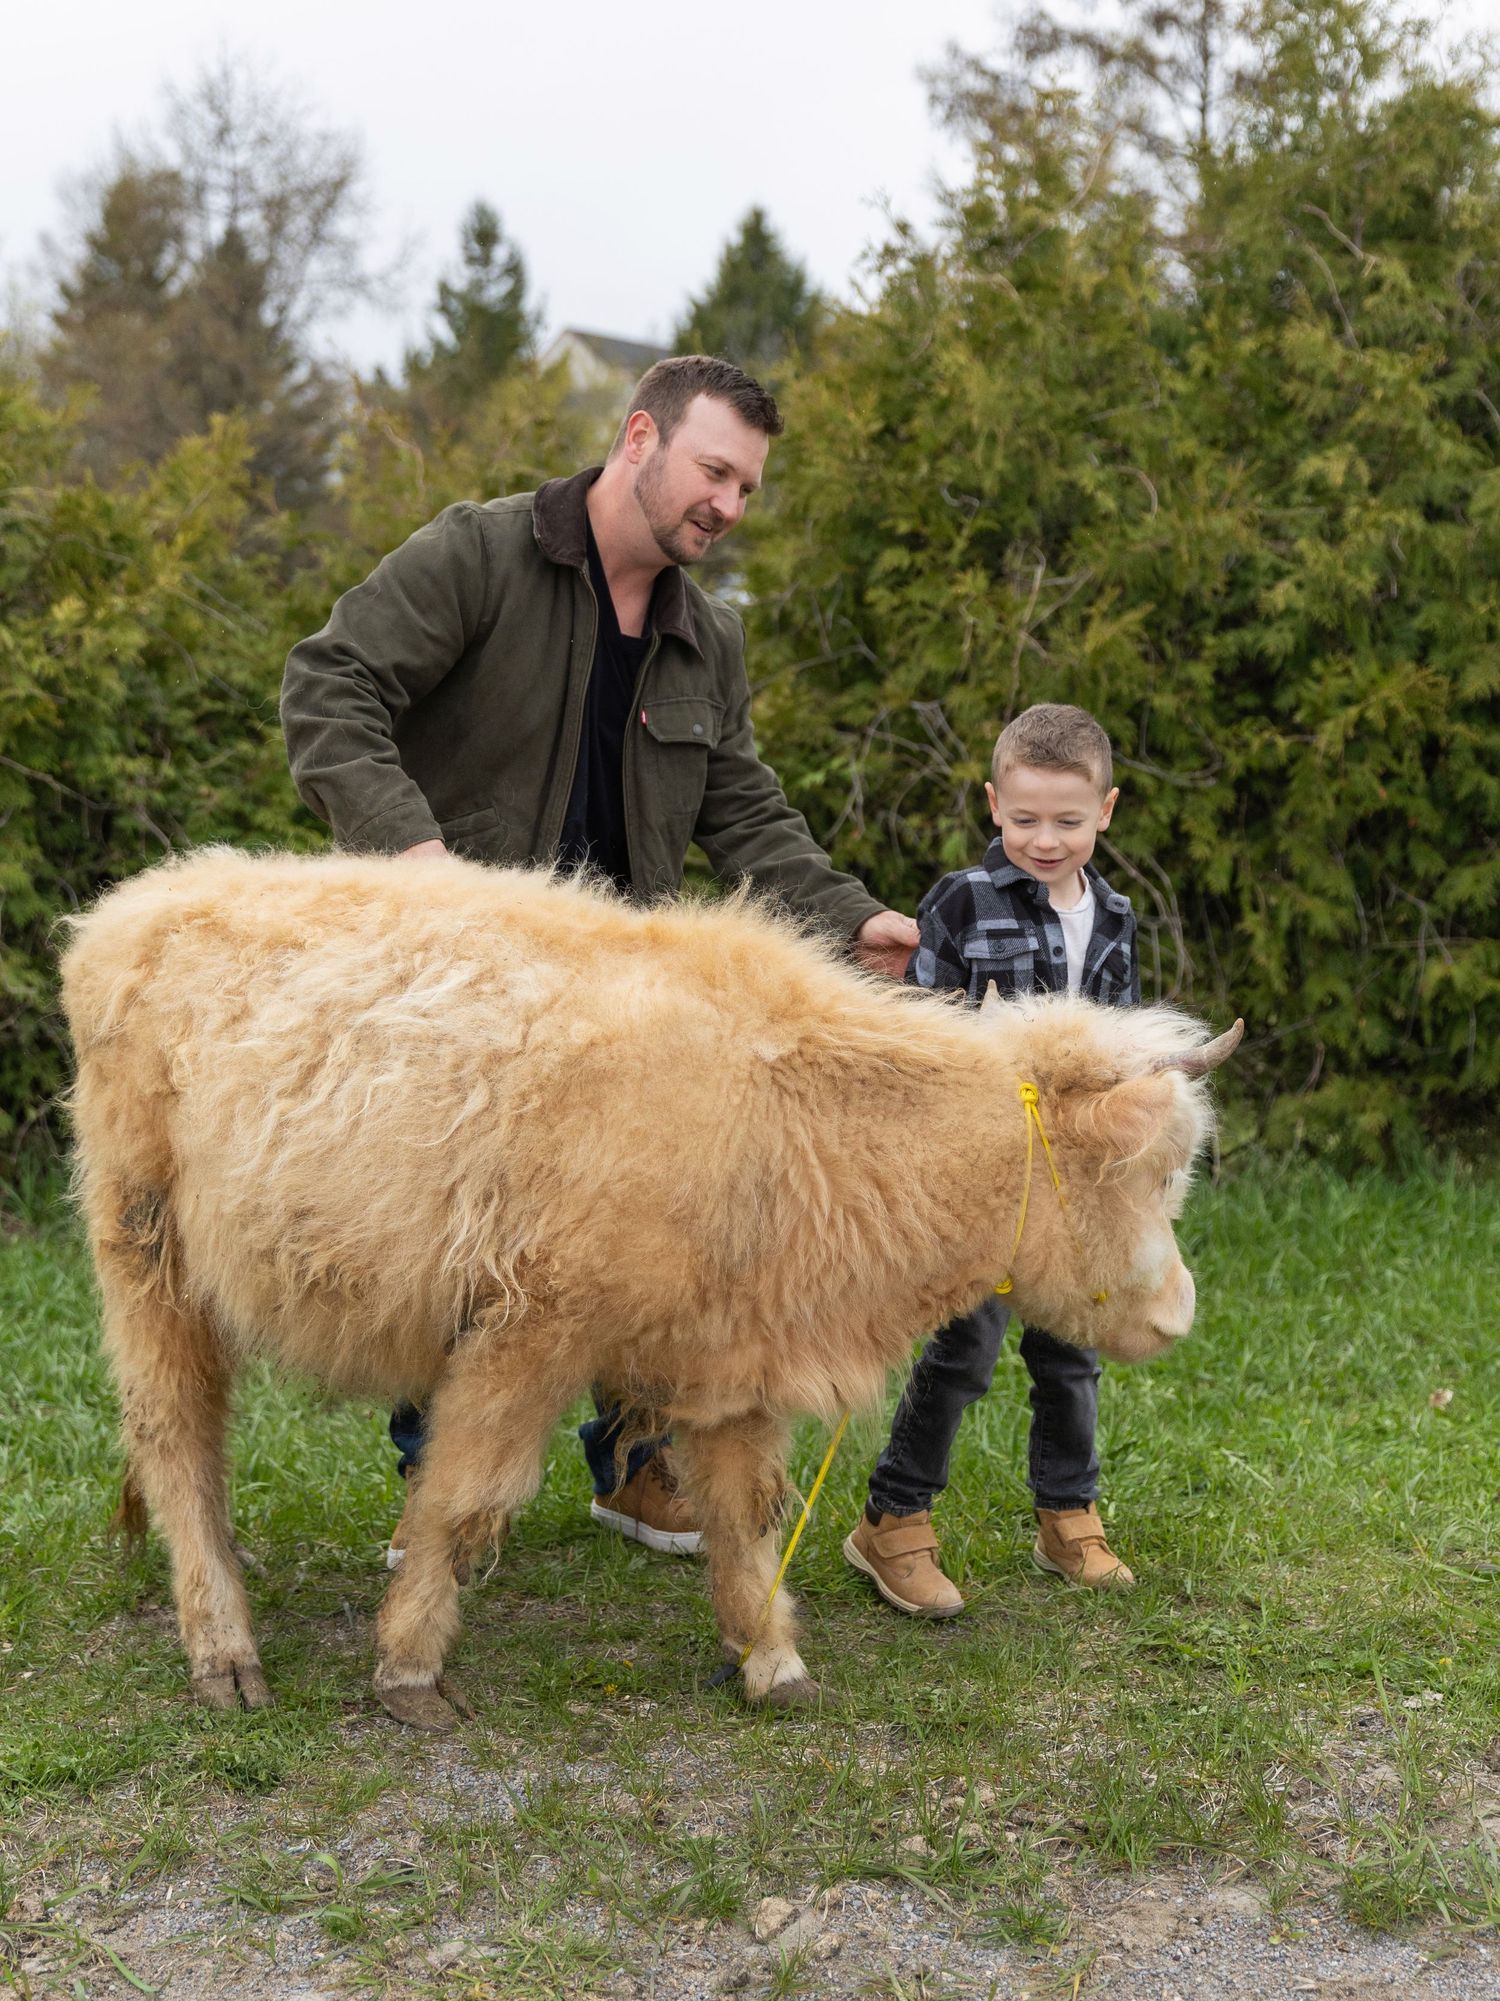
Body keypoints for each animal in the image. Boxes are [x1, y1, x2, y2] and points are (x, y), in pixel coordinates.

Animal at [60, 849, 1241, 1729]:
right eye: (1156, 1172)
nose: (1180, 1312)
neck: (787, 1114)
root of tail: (133, 908)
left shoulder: (733, 1356)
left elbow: (745, 1509)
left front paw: (767, 1658)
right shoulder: (527, 1331)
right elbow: (461, 1496)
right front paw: (409, 1669)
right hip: (146, 1256)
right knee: (178, 1437)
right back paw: (223, 1650)